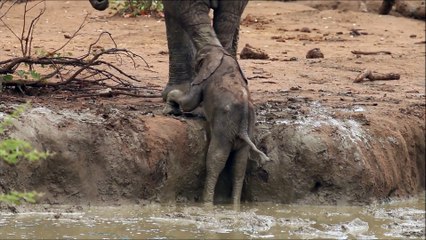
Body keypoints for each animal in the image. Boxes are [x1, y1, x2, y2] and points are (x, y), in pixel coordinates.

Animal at [163, 45, 270, 204]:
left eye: (198, 61)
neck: (221, 53)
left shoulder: (203, 79)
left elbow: (190, 101)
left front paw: (169, 107)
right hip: (246, 130)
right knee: (239, 164)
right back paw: (234, 204)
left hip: (224, 129)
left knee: (216, 159)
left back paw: (206, 202)